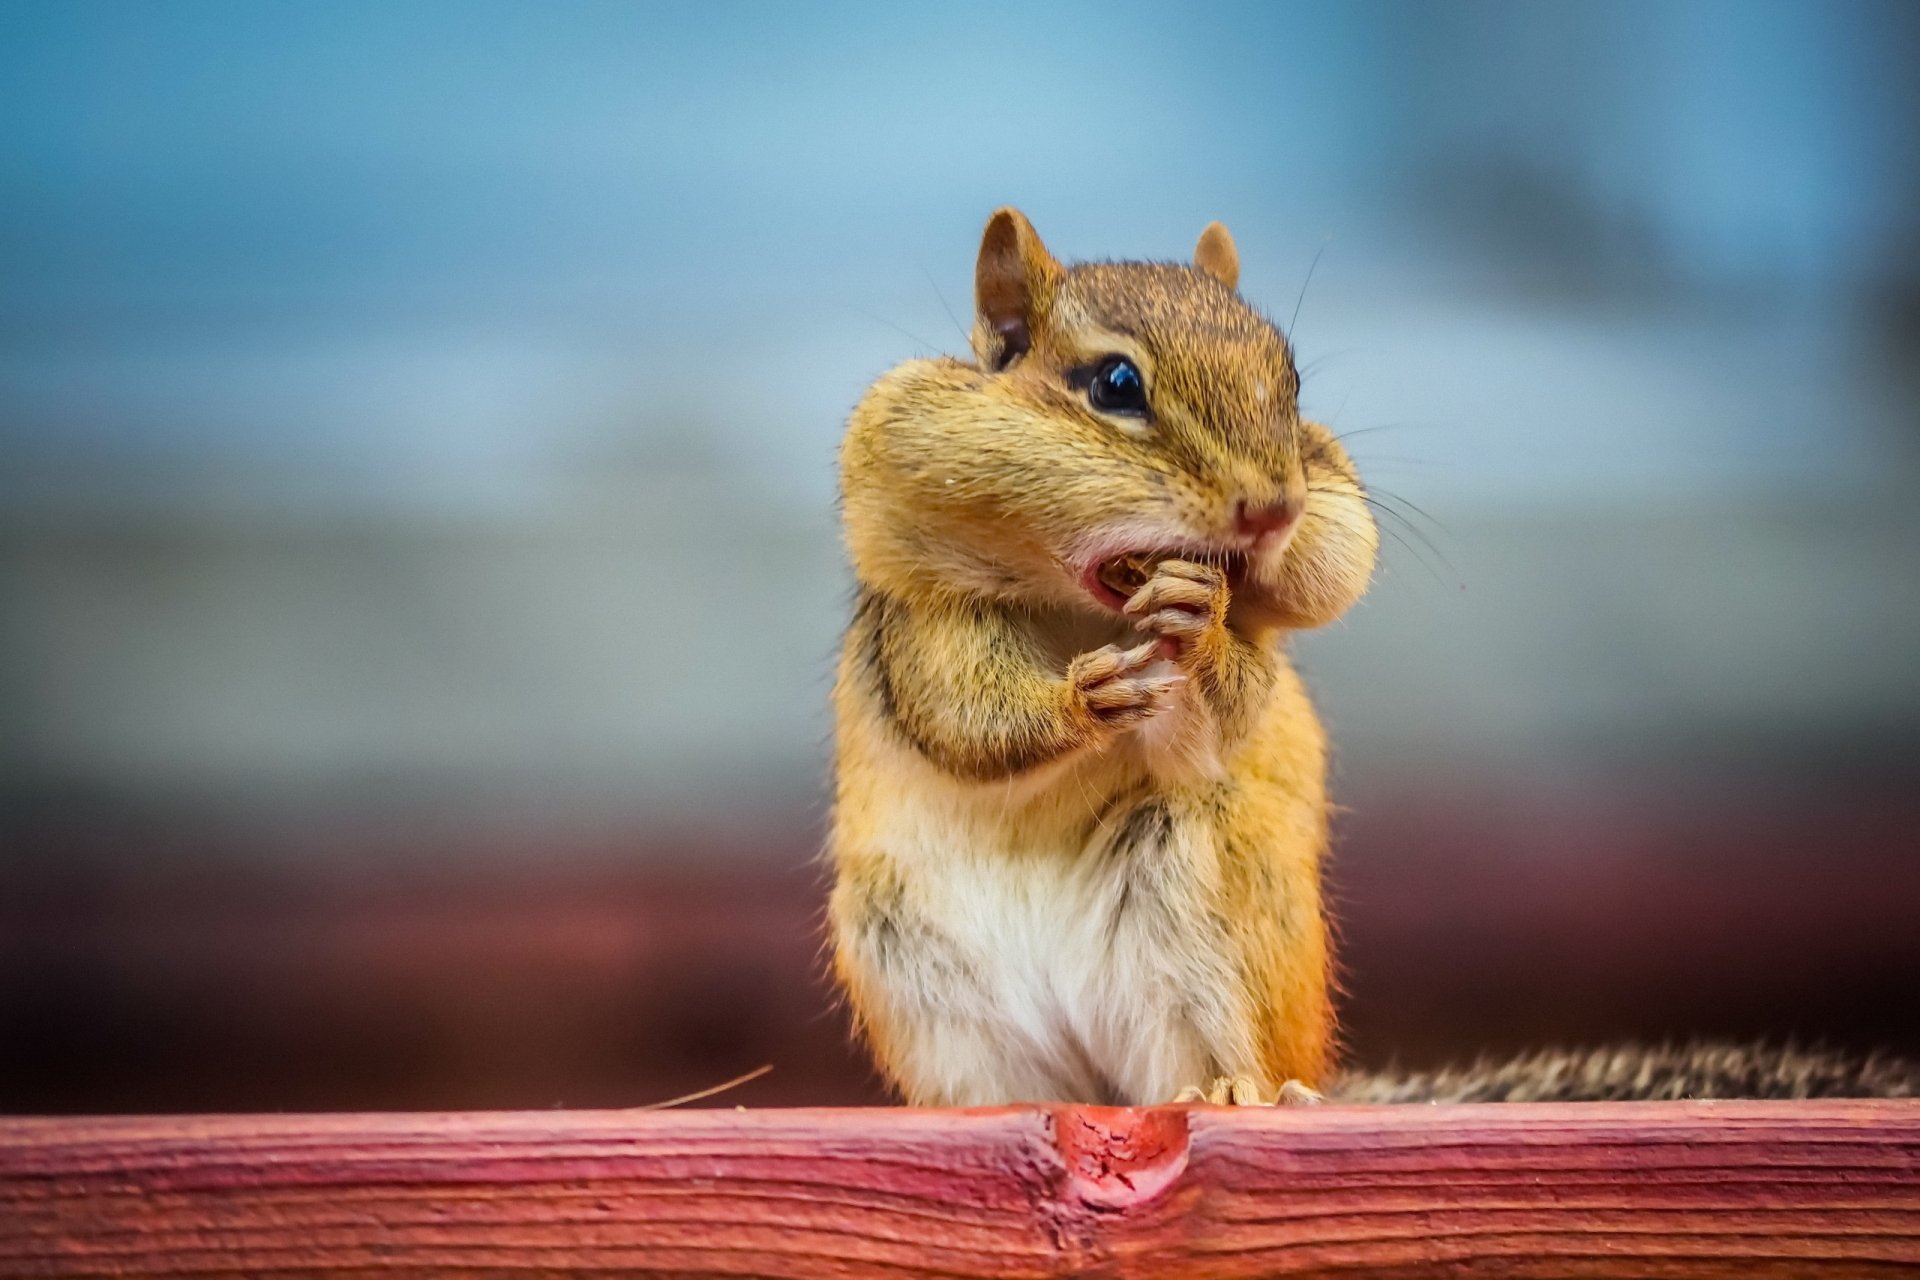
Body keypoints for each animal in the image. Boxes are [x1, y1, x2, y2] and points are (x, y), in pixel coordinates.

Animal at [826, 207, 1918, 1108]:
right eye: (1115, 384)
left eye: (1294, 385)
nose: (1273, 507)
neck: (1080, 613)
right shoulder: (922, 626)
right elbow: (961, 717)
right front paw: (1082, 700)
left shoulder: (1313, 548)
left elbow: (1258, 664)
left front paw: (1202, 628)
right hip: (917, 975)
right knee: (1016, 1084)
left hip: (1202, 902)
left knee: (1212, 1061)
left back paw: (1234, 1092)